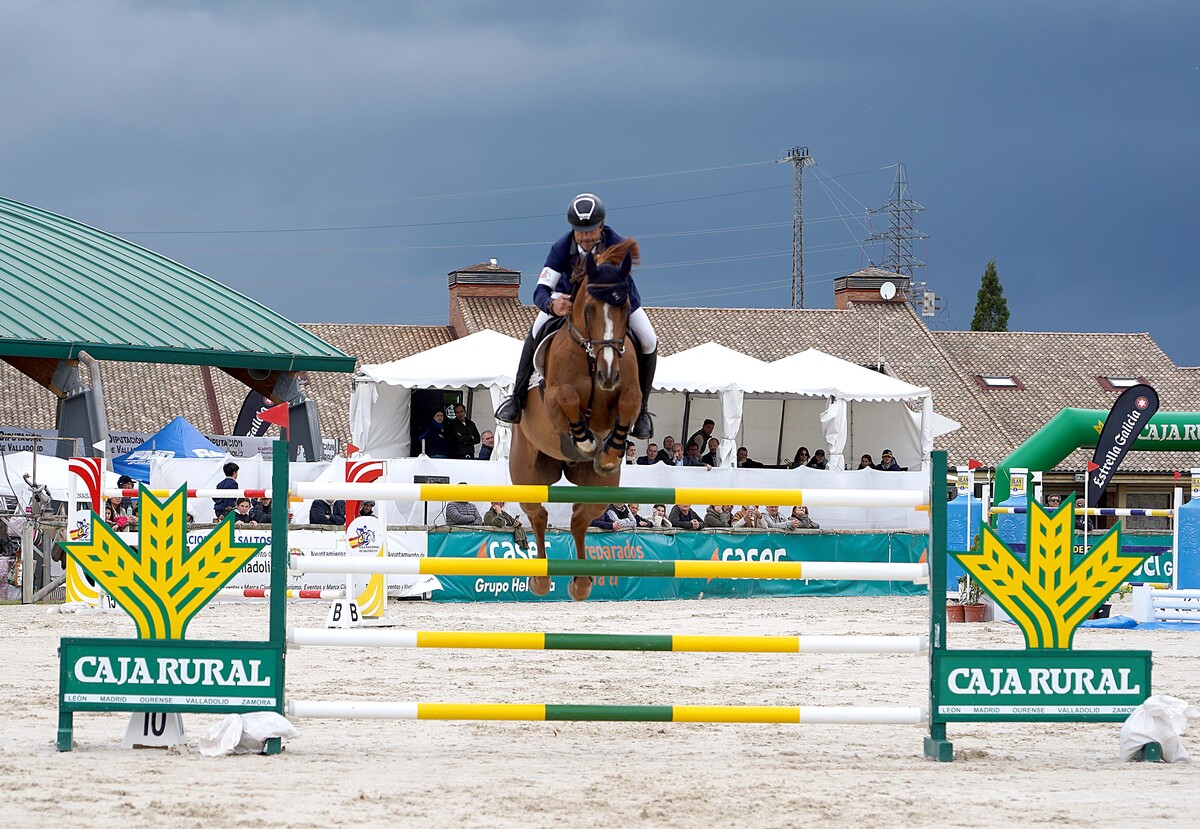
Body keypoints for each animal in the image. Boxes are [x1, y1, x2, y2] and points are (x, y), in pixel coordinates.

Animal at [506, 236, 643, 599]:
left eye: (626, 307)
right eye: (589, 309)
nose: (608, 375)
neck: (593, 356)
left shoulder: (629, 391)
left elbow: (630, 401)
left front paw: (608, 452)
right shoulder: (555, 400)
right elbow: (566, 400)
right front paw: (584, 441)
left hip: (601, 488)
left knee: (581, 517)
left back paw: (581, 582)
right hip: (527, 474)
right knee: (538, 515)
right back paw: (541, 579)